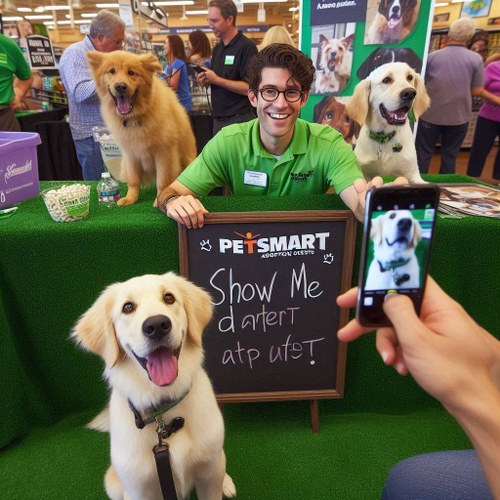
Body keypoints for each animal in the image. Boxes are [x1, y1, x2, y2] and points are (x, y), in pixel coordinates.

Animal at [72, 274, 236, 500]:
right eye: (128, 307)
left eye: (169, 298)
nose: (157, 325)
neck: (163, 411)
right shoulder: (139, 490)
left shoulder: (209, 477)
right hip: (113, 484)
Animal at [86, 51, 195, 207]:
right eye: (111, 71)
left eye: (131, 73)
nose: (120, 86)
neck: (133, 118)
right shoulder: (131, 154)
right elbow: (134, 180)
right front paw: (130, 198)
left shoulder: (164, 153)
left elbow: (162, 181)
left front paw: (158, 200)